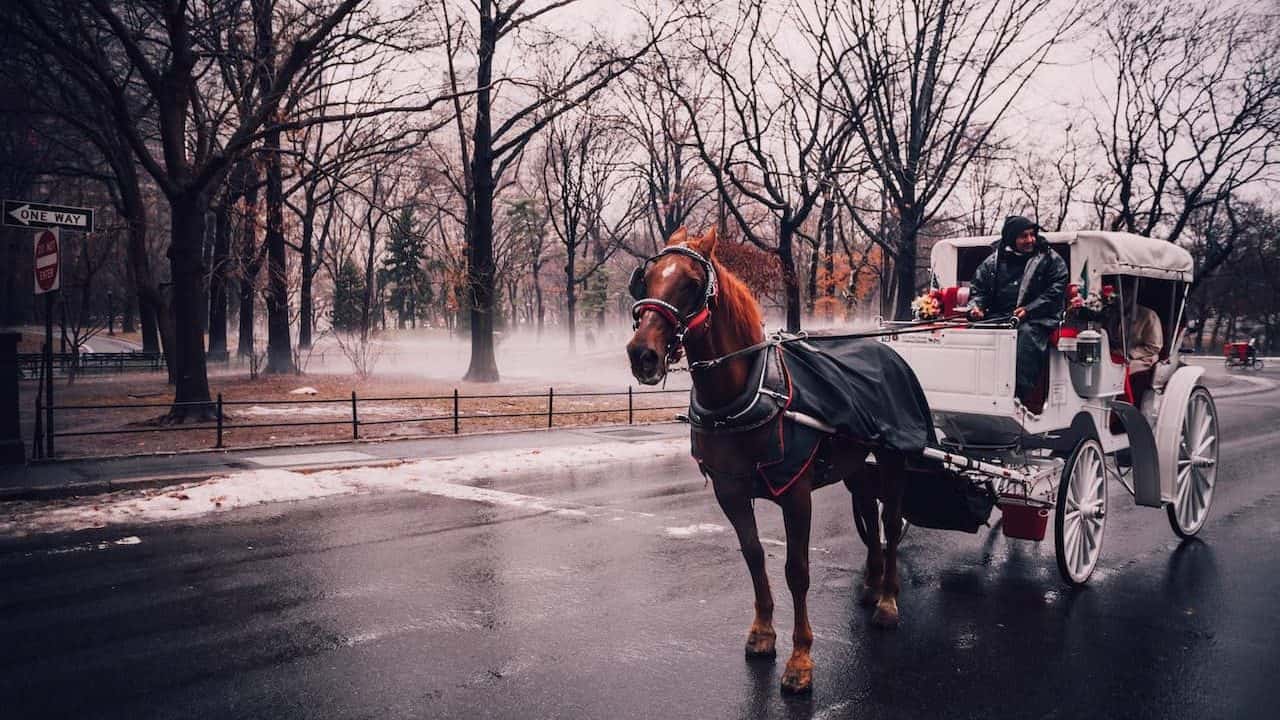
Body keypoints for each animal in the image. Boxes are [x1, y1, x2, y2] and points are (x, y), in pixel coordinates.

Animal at [625, 227, 915, 695]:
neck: (745, 393)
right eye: (646, 279)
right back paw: (872, 583)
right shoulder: (730, 490)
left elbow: (797, 570)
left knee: (890, 520)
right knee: (868, 511)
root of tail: (885, 351)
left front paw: (800, 659)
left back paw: (888, 599)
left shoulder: (796, 493)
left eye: (691, 283)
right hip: (854, 463)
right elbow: (754, 555)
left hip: (893, 456)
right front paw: (762, 632)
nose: (642, 354)